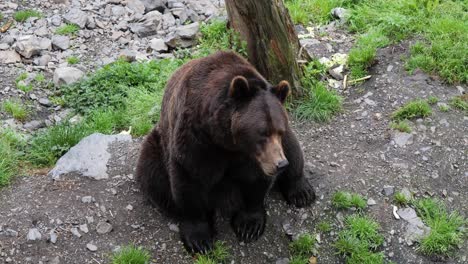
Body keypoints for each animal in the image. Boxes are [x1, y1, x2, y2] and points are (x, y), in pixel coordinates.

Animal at [137, 50, 316, 254]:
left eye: (279, 130)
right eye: (262, 133)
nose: (280, 164)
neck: (227, 142)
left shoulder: (253, 156)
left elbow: (255, 181)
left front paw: (249, 225)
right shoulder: (195, 139)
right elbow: (188, 179)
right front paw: (199, 238)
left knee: (294, 149)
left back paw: (301, 192)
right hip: (157, 146)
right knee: (154, 177)